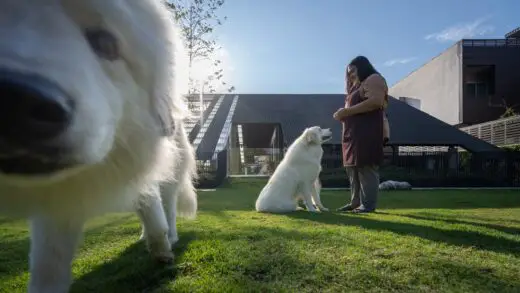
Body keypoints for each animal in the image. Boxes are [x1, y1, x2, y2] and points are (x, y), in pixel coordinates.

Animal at [0, 1, 197, 290]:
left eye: (106, 43)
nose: (14, 102)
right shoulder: (57, 204)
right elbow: (49, 264)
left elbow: (155, 214)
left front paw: (162, 250)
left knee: (168, 207)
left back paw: (169, 236)